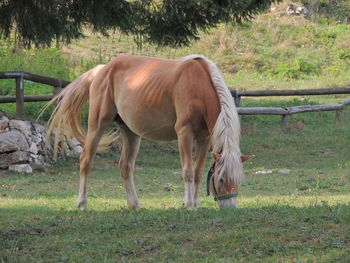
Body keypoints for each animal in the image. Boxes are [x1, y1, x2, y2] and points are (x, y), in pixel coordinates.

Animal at [47, 54, 253, 210]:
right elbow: (188, 171)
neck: (198, 85)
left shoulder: (204, 138)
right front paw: (188, 205)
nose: (230, 208)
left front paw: (195, 204)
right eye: (220, 180)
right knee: (86, 160)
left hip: (130, 132)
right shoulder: (184, 134)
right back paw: (82, 203)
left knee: (125, 166)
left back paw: (134, 205)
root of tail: (103, 69)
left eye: (239, 180)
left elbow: (198, 173)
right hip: (97, 124)